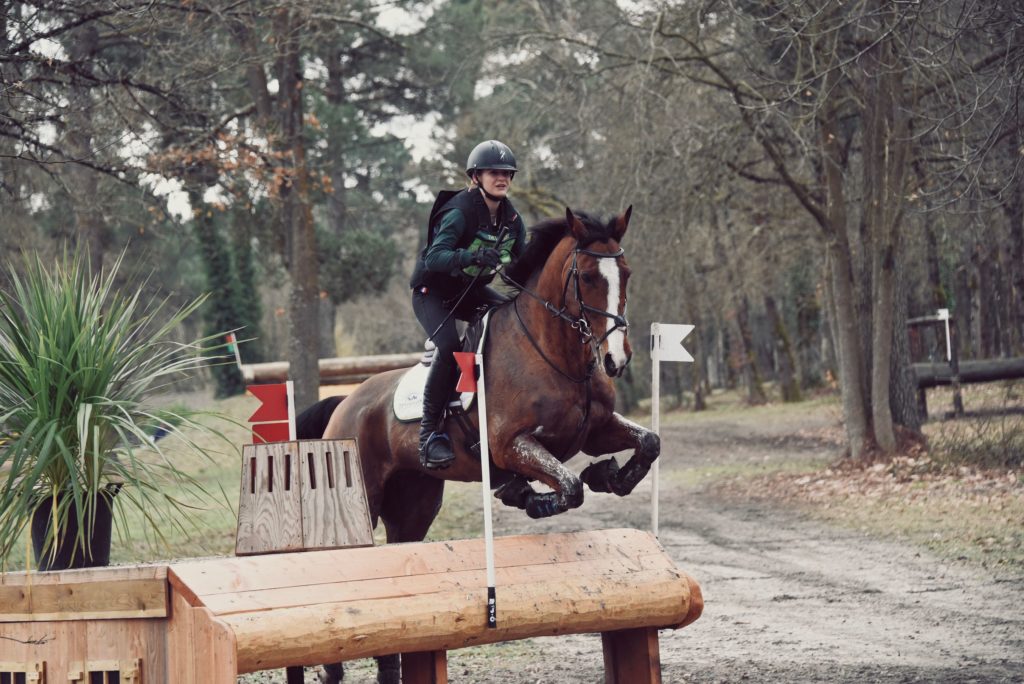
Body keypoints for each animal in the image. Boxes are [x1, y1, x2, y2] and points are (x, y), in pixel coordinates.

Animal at [299, 205, 659, 684]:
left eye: (626, 273)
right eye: (585, 276)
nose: (616, 359)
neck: (554, 352)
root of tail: (346, 402)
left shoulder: (595, 429)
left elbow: (648, 443)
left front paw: (608, 474)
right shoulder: (510, 444)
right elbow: (569, 487)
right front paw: (534, 498)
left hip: (416, 502)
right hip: (364, 497)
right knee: (341, 557)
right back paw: (332, 669)